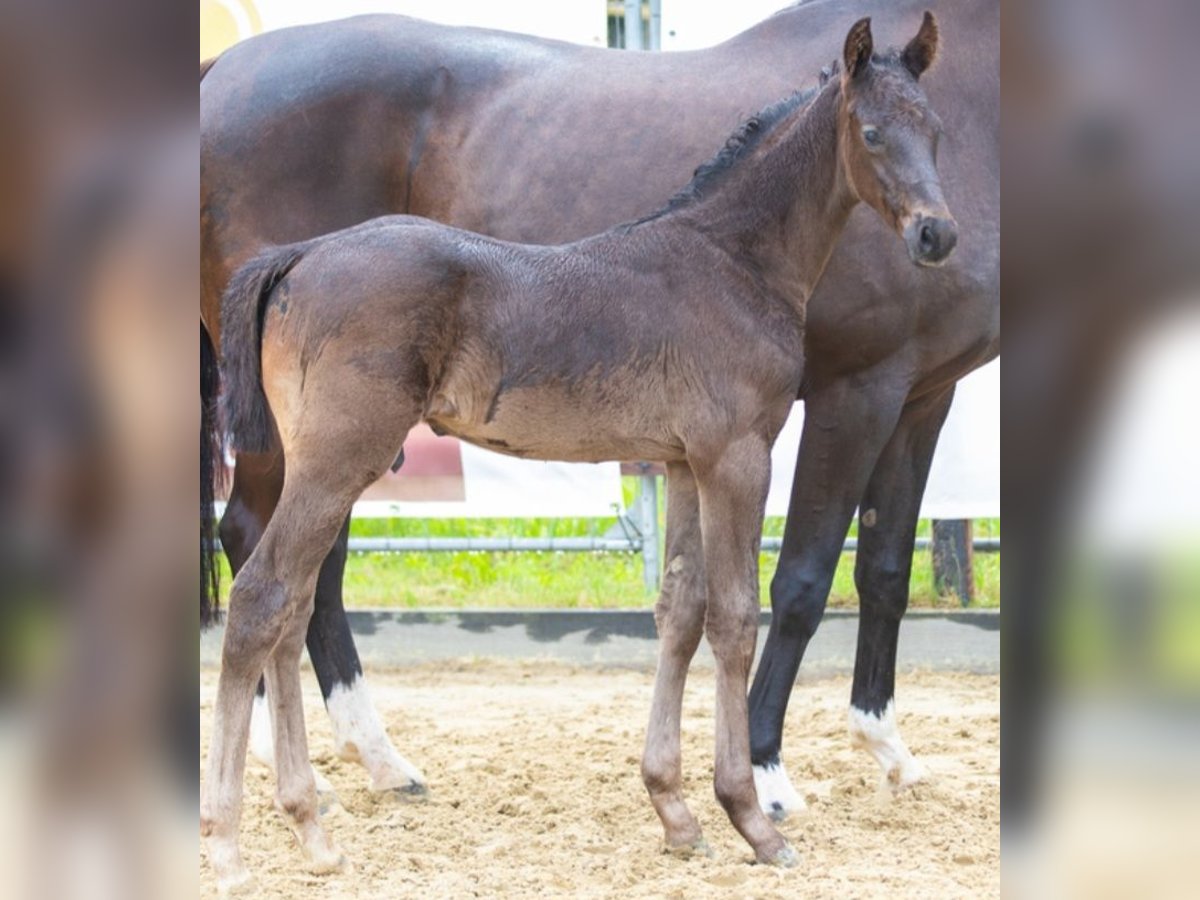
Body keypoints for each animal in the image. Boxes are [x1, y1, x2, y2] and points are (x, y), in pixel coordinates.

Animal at [204, 17, 955, 892]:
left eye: (937, 132)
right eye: (871, 132)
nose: (937, 234)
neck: (731, 261)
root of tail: (299, 256)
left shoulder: (682, 464)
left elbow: (680, 613)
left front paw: (675, 811)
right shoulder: (739, 457)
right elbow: (735, 619)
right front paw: (750, 817)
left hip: (317, 465)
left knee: (289, 608)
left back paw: (312, 830)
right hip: (337, 459)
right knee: (262, 598)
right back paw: (228, 845)